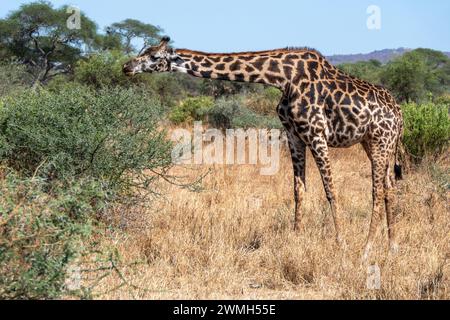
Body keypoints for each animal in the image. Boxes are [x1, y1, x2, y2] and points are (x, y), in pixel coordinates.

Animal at [124, 37, 404, 258]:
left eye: (154, 56)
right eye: (143, 50)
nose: (126, 66)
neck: (282, 78)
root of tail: (400, 114)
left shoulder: (316, 134)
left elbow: (330, 191)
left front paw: (341, 243)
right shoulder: (293, 135)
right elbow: (298, 190)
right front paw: (296, 238)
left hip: (379, 141)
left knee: (377, 191)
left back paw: (367, 249)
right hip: (377, 144)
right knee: (390, 188)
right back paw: (392, 246)